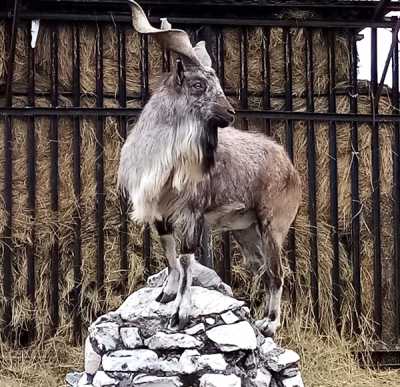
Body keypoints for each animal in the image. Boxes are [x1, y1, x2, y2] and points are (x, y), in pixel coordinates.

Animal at [118, 0, 300, 336]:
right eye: (198, 83)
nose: (229, 113)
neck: (164, 163)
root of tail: (290, 167)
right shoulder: (162, 214)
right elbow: (170, 254)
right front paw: (166, 294)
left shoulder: (192, 214)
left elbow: (187, 259)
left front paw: (181, 315)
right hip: (246, 231)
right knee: (264, 269)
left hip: (274, 225)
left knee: (278, 273)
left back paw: (270, 324)